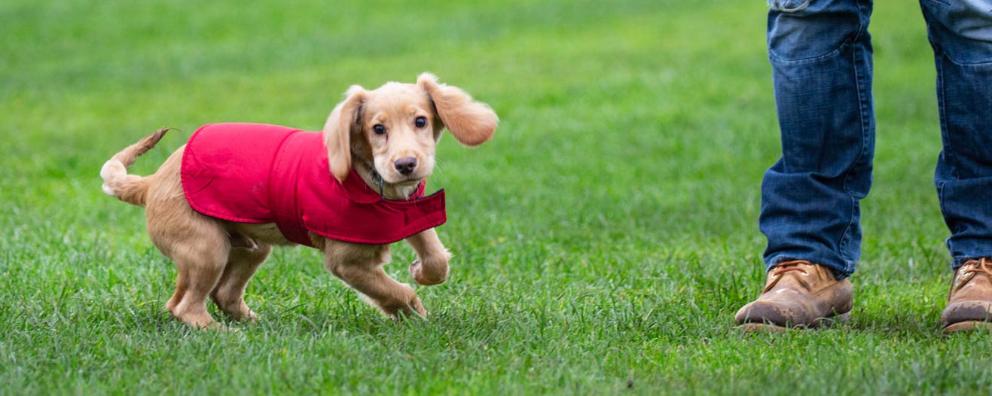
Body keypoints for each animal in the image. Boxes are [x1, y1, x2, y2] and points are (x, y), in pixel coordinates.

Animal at [102, 74, 496, 328]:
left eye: (421, 121)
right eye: (378, 129)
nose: (406, 165)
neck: (373, 184)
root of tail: (152, 182)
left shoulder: (411, 211)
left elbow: (436, 259)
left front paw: (421, 272)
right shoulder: (347, 261)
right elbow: (395, 291)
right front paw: (413, 312)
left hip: (248, 246)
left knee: (215, 295)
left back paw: (253, 324)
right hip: (206, 248)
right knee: (186, 306)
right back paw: (223, 334)